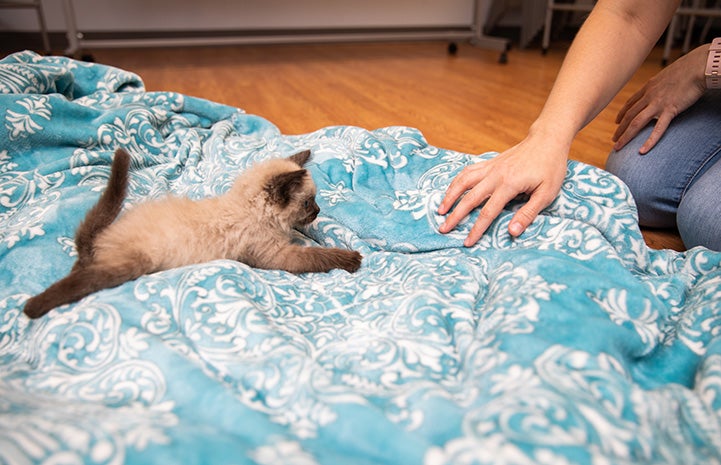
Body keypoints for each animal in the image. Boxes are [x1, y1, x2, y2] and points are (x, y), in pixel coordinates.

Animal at [25, 149, 362, 320]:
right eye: (308, 202)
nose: (318, 211)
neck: (246, 208)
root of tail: (101, 236)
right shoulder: (278, 256)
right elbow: (317, 256)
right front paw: (352, 259)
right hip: (132, 264)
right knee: (82, 279)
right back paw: (33, 308)